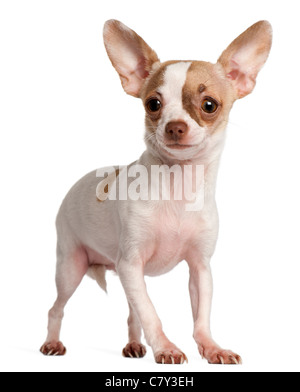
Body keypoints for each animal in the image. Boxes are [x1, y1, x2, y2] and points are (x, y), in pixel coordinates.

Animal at [39, 19, 272, 364]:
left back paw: (134, 345)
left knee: (131, 313)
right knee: (57, 308)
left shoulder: (199, 268)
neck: (178, 187)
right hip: (71, 266)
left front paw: (211, 347)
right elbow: (151, 313)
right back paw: (53, 342)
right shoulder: (130, 263)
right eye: (153, 104)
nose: (175, 126)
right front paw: (166, 348)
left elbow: (200, 316)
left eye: (209, 105)